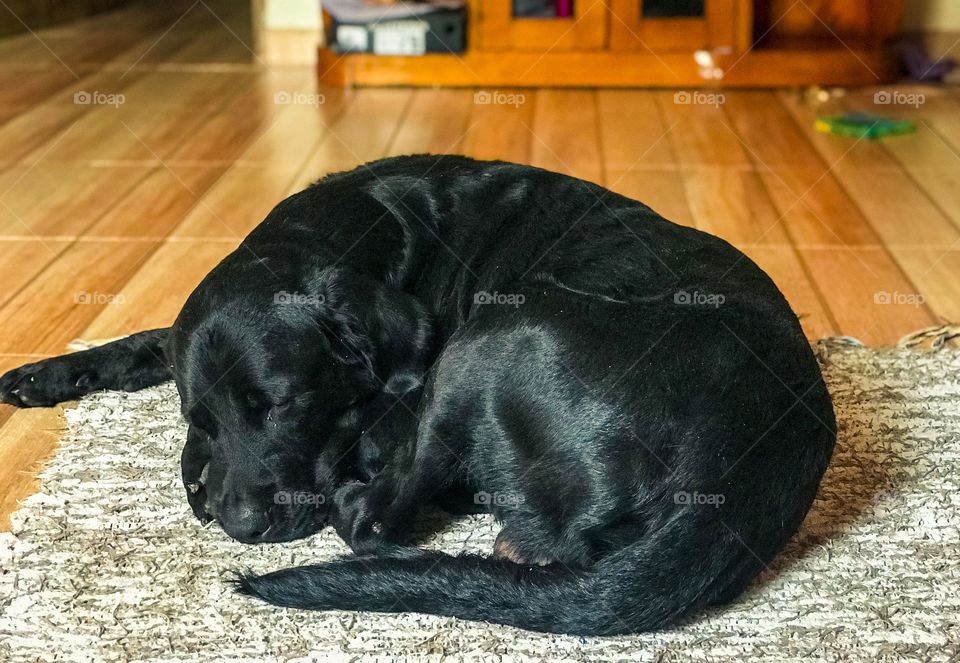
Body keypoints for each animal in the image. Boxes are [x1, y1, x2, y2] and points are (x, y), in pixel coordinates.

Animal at [0, 156, 832, 640]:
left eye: (284, 404)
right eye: (202, 416)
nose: (238, 522)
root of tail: (738, 475)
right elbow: (146, 339)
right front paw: (46, 375)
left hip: (491, 336)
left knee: (384, 516)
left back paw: (365, 497)